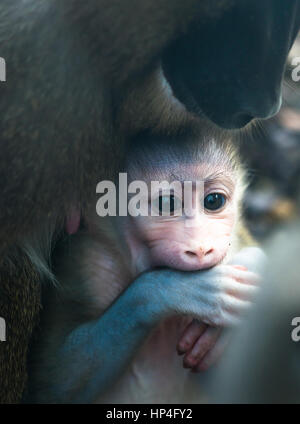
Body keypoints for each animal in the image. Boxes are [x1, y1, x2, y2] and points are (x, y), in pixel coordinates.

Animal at [27, 132, 264, 400]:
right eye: (167, 203)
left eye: (214, 201)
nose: (201, 248)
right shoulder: (86, 263)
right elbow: (52, 382)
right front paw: (174, 289)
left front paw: (255, 263)